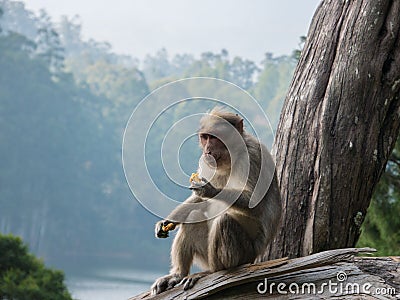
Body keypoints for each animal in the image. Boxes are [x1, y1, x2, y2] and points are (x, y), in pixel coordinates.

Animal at [150, 106, 282, 294]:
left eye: (214, 137)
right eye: (205, 137)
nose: (207, 149)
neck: (231, 157)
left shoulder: (254, 156)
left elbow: (254, 203)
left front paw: (209, 189)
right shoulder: (206, 162)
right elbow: (198, 200)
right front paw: (167, 222)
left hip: (245, 255)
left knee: (225, 221)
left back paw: (214, 271)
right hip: (205, 255)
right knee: (194, 216)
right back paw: (178, 274)